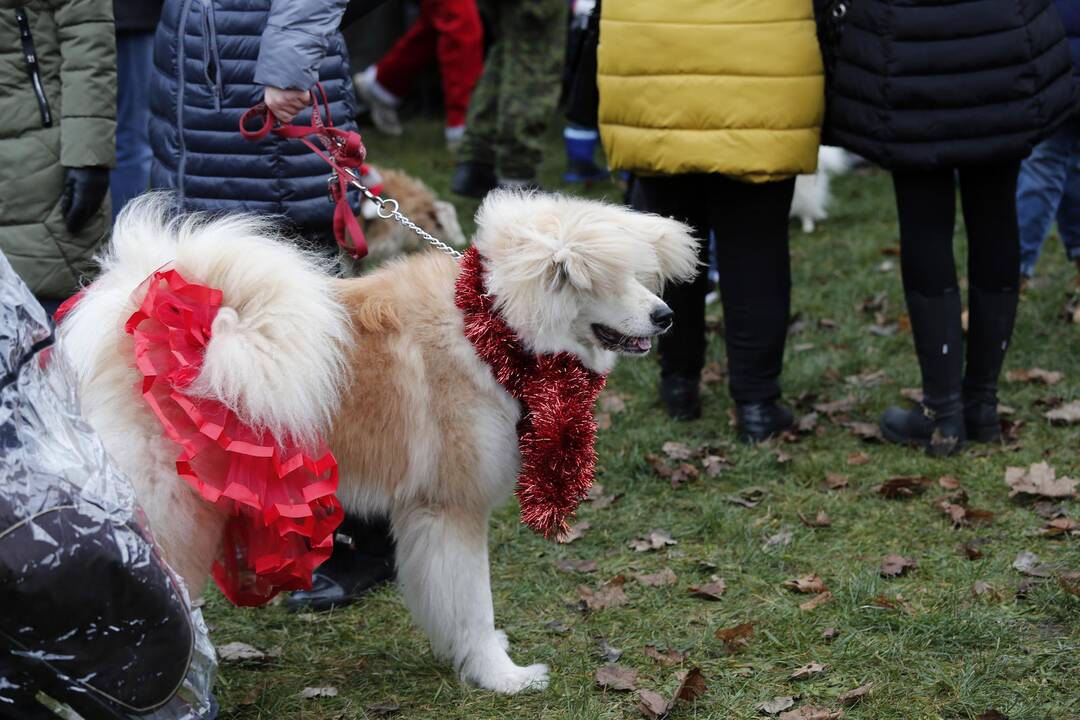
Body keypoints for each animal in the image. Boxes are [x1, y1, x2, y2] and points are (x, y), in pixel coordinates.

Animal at [56, 189, 699, 690]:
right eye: (602, 280)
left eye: (641, 276)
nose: (666, 316)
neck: (492, 331)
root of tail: (143, 321)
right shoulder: (452, 510)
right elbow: (472, 603)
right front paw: (502, 676)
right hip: (169, 513)